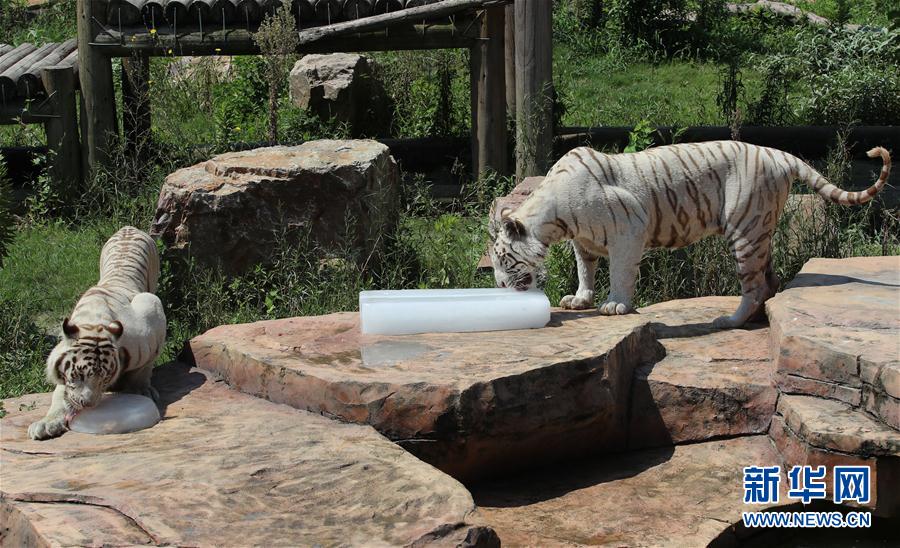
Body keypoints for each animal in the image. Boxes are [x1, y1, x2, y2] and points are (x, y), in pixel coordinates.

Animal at [28, 226, 167, 440]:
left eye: (105, 376)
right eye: (77, 375)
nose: (88, 404)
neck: (93, 323)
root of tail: (129, 227)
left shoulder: (152, 317)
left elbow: (144, 368)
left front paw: (141, 389)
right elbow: (59, 394)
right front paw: (47, 423)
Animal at [488, 141, 888, 328]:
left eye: (505, 260)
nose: (502, 287)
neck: (555, 221)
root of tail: (779, 154)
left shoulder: (629, 228)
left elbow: (619, 272)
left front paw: (615, 305)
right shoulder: (583, 242)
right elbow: (585, 269)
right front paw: (580, 299)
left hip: (744, 228)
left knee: (754, 285)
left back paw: (730, 321)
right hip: (761, 229)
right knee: (769, 280)